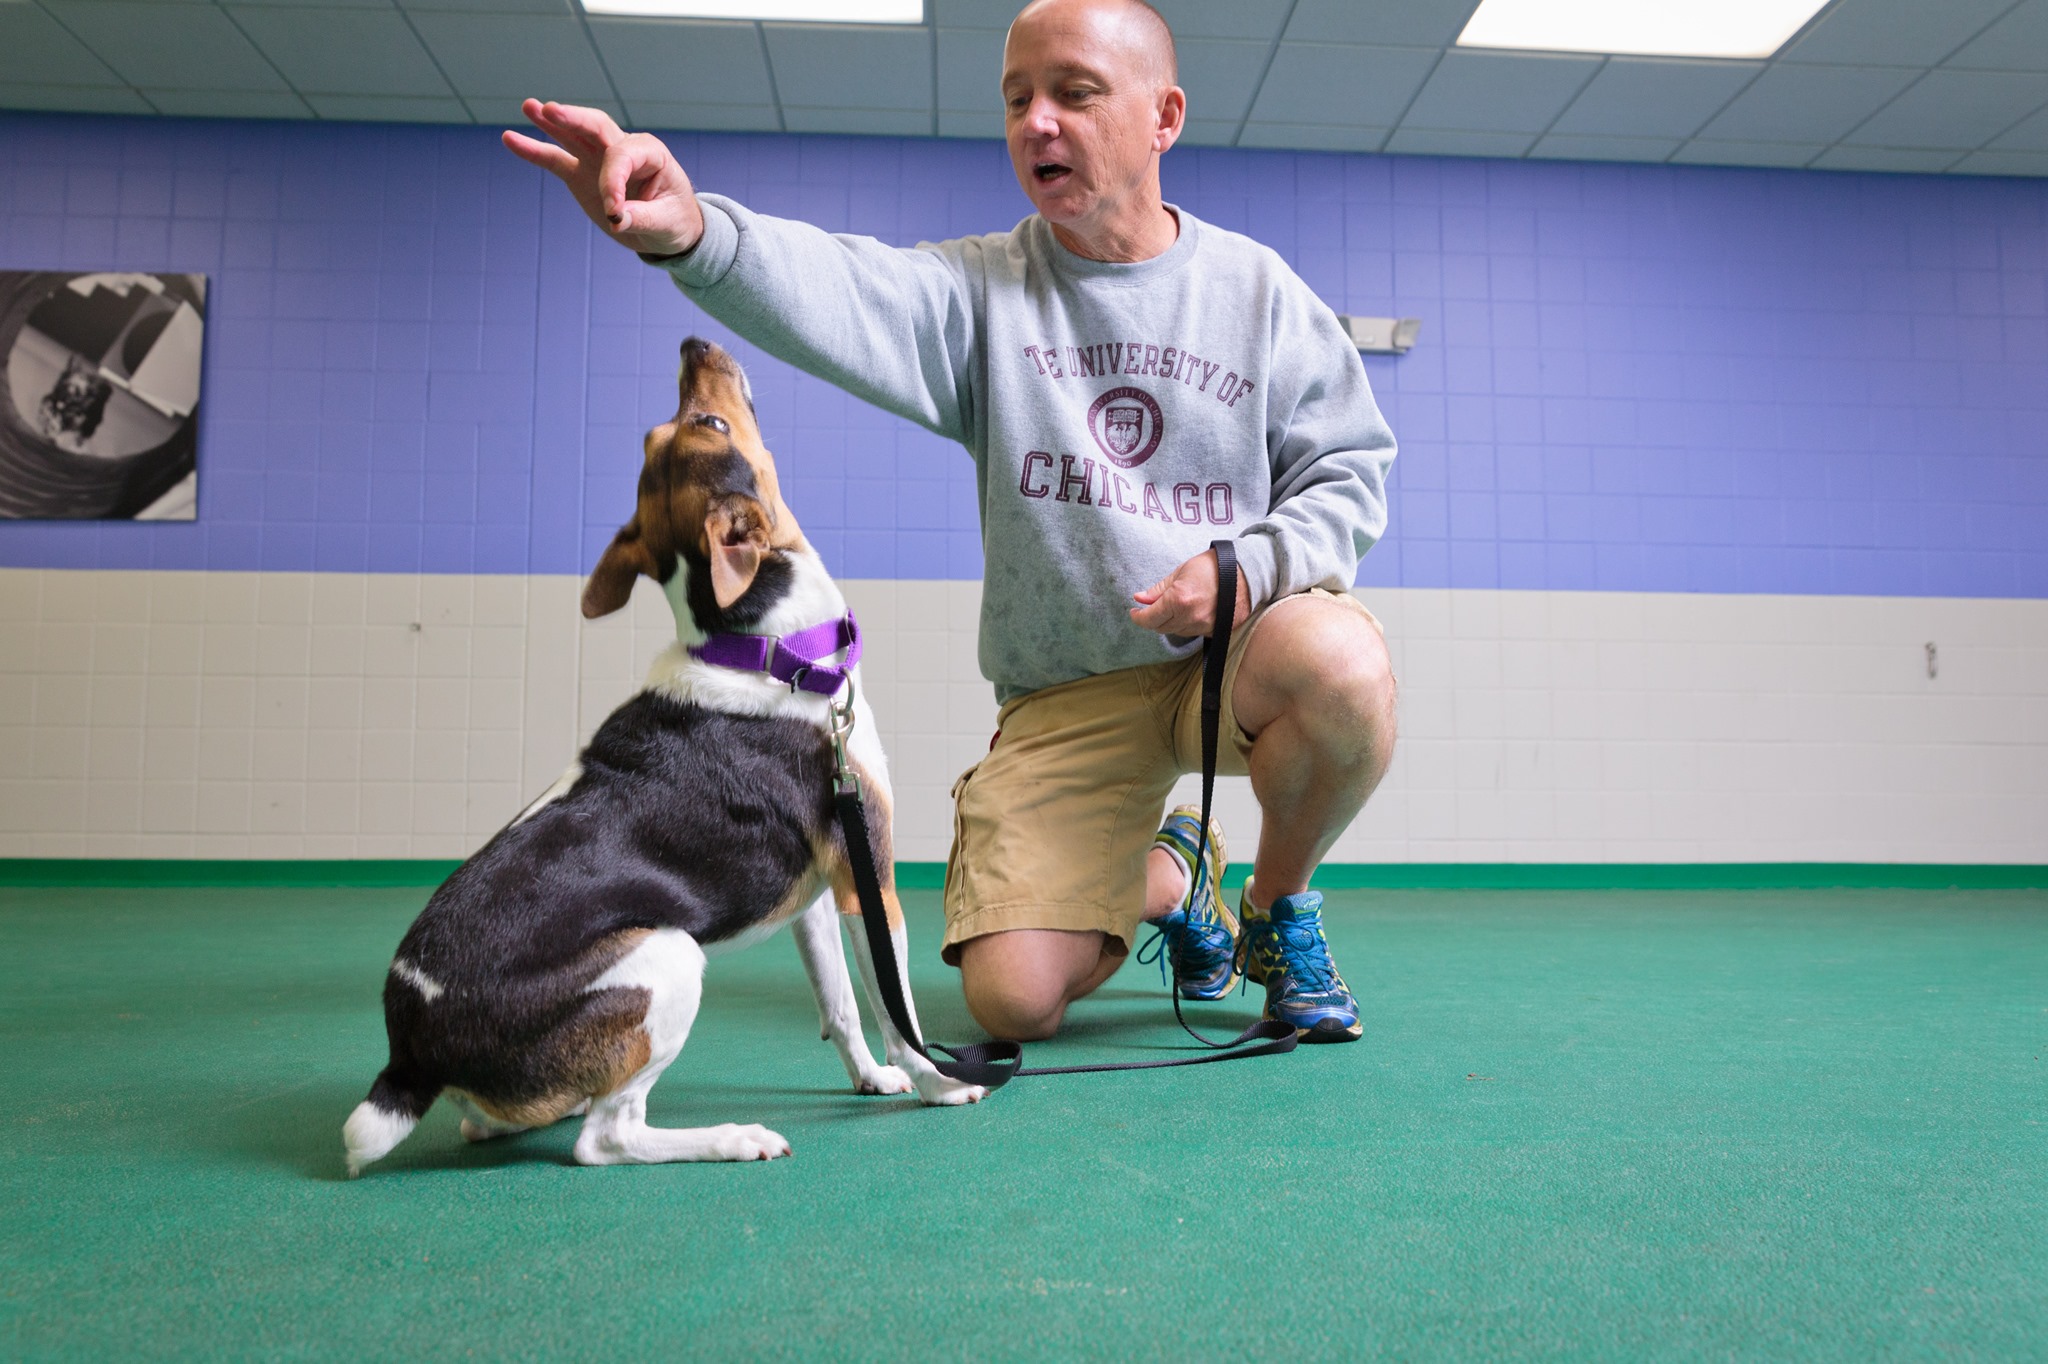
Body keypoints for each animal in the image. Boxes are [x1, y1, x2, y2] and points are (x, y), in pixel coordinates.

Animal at [344, 333, 983, 1171]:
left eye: (671, 432)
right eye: (709, 421)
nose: (692, 341)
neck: (765, 647)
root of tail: (409, 1051)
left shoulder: (818, 893)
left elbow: (843, 1005)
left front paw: (872, 1079)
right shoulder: (863, 871)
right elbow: (896, 1005)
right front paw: (941, 1082)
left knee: (498, 1120)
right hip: (669, 956)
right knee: (607, 1137)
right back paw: (732, 1138)